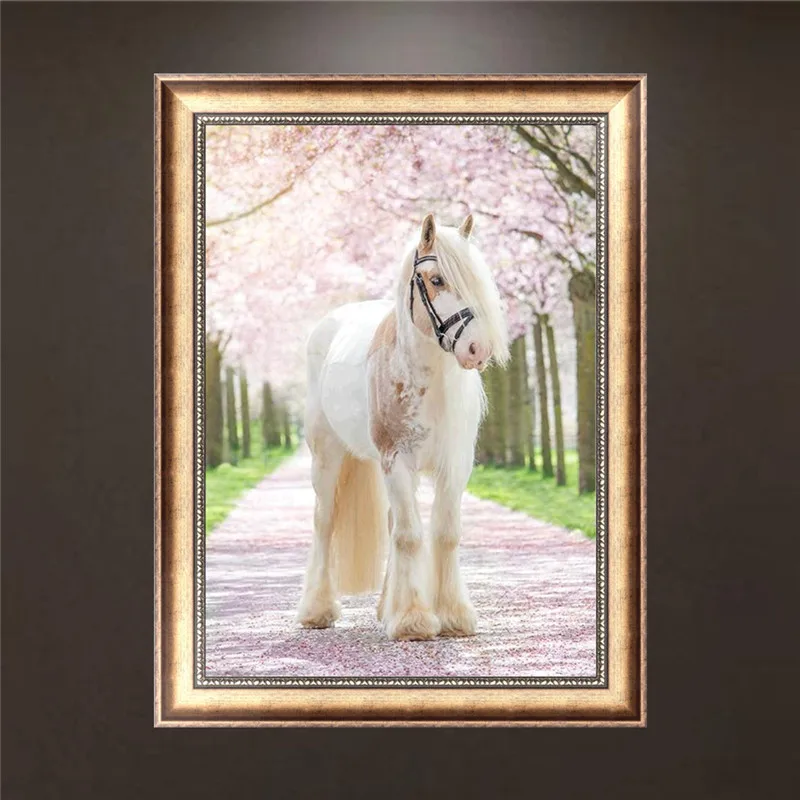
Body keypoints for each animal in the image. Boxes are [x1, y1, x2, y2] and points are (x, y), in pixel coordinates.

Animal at [296, 213, 509, 641]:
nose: (478, 349)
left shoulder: (454, 466)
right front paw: (413, 620)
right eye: (437, 279)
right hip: (326, 457)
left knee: (394, 522)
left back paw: (384, 608)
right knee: (325, 521)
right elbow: (410, 537)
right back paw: (317, 610)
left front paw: (453, 616)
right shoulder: (397, 460)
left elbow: (444, 533)